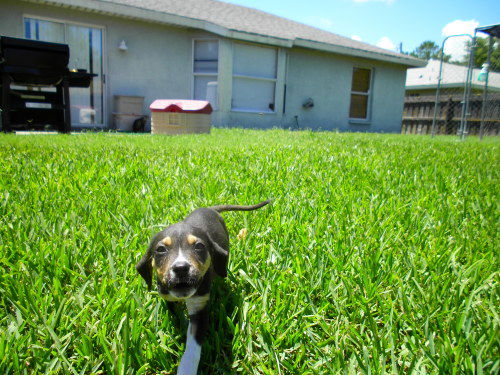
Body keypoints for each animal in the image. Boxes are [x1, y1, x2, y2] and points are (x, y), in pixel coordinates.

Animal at [136, 201, 270, 375]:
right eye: (160, 249)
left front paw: (186, 369)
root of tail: (210, 208)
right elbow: (176, 314)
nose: (181, 268)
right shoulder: (168, 297)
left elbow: (193, 348)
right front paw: (181, 324)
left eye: (199, 246)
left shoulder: (199, 308)